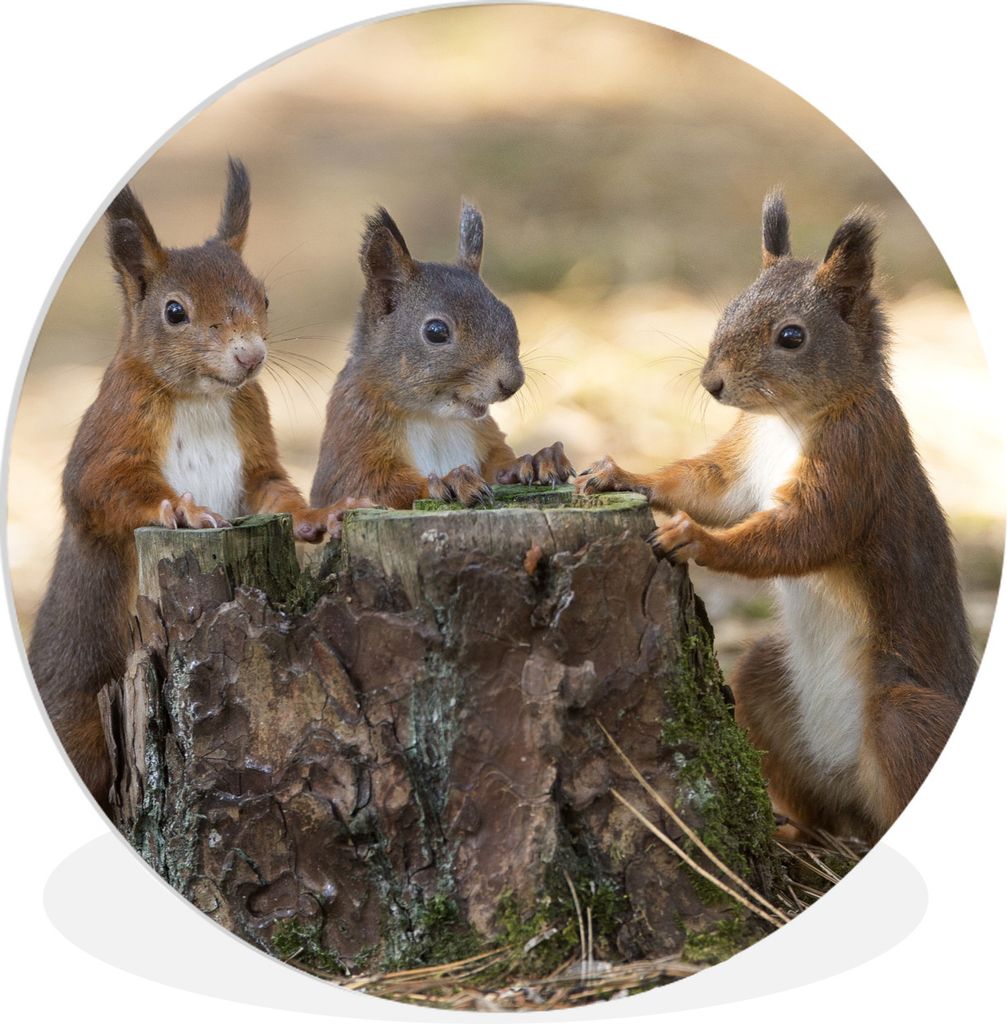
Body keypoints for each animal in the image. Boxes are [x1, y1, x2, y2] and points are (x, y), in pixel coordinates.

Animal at [29, 159, 367, 812]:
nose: (250, 356)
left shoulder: (254, 452)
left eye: (264, 296)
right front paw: (182, 511)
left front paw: (323, 515)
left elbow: (276, 493)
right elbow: (100, 493)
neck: (201, 399)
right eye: (174, 312)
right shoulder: (107, 438)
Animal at [310, 202, 573, 509]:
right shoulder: (352, 436)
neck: (434, 419)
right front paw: (450, 481)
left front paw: (536, 460)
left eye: (508, 314)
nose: (512, 383)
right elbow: (367, 488)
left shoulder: (485, 436)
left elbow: (499, 467)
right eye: (436, 331)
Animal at [576, 191, 976, 841]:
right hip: (767, 683)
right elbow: (706, 487)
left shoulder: (856, 458)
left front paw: (697, 541)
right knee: (821, 809)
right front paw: (623, 475)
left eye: (792, 336)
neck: (789, 421)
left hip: (902, 718)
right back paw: (795, 834)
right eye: (729, 307)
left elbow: (805, 533)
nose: (712, 383)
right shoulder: (742, 463)